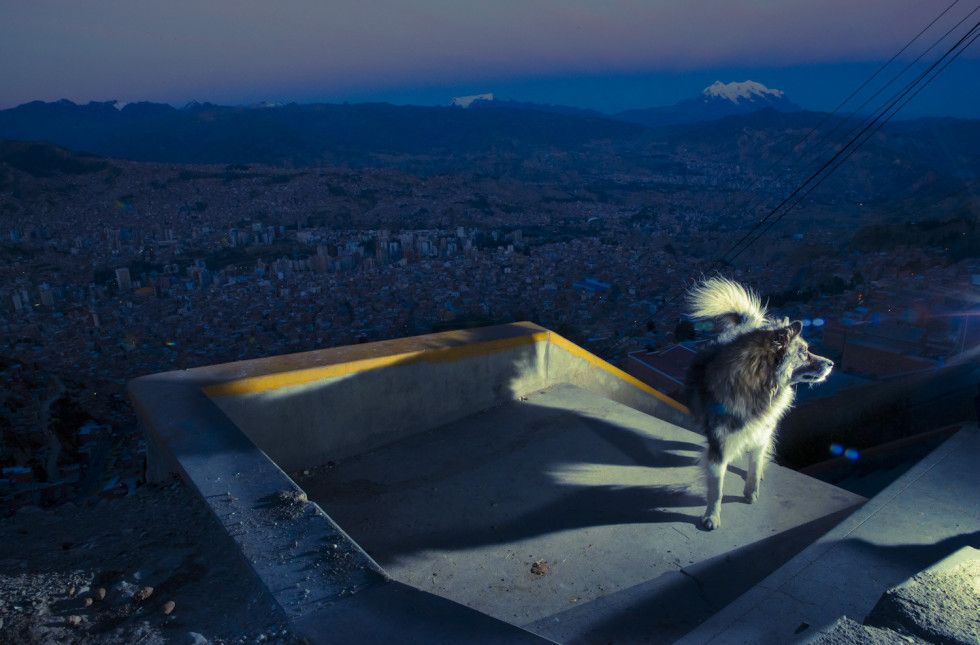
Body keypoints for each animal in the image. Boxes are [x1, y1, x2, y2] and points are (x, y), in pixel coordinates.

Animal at [684, 276, 832, 528]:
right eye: (804, 353)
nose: (831, 364)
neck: (756, 387)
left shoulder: (761, 432)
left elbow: (754, 464)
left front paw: (751, 491)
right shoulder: (720, 443)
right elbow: (716, 486)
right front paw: (712, 514)